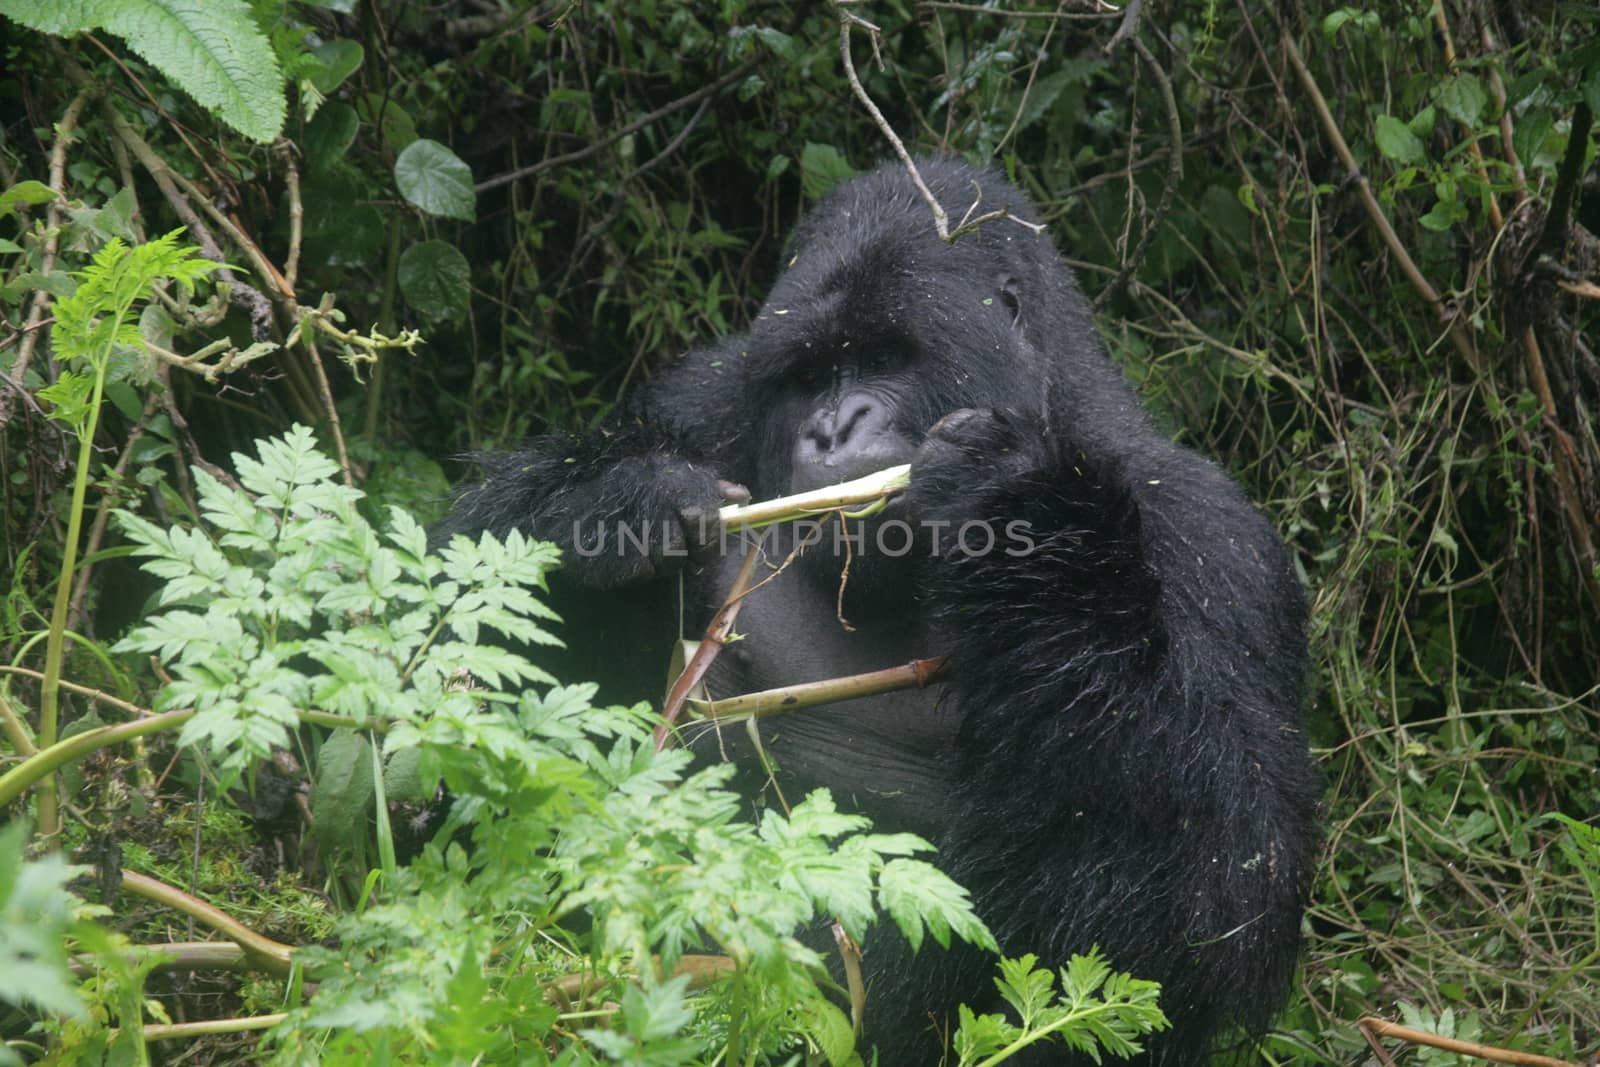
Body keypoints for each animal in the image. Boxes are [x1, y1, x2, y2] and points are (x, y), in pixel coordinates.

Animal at [441, 154, 1324, 1062]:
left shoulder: (1212, 542)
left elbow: (1215, 886)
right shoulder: (698, 401)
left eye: (890, 355)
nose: (835, 427)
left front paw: (1010, 507)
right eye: (808, 376)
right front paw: (611, 508)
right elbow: (465, 592)